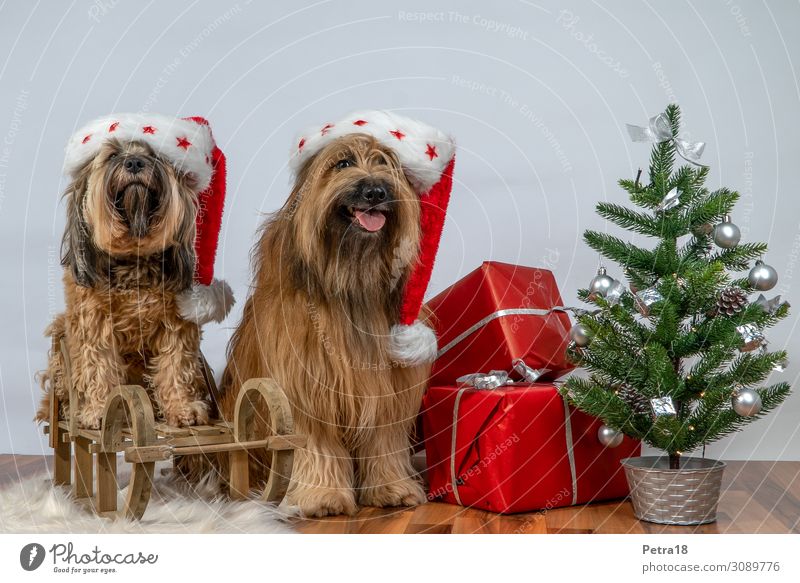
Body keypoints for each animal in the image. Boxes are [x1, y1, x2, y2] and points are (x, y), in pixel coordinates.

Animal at [37, 137, 209, 428]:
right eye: (113, 155)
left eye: (154, 155)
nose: (135, 162)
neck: (134, 258)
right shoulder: (94, 323)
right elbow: (98, 366)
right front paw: (99, 412)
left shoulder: (176, 323)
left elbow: (176, 365)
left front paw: (183, 407)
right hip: (61, 334)